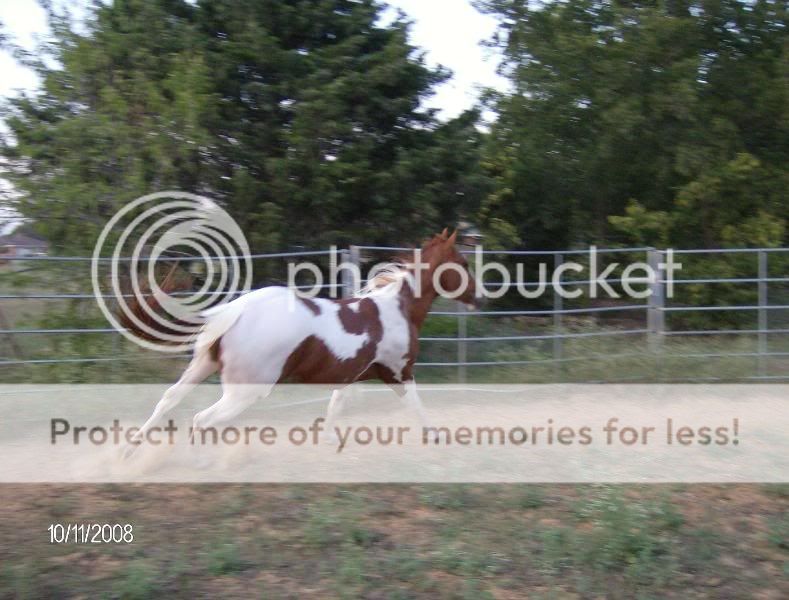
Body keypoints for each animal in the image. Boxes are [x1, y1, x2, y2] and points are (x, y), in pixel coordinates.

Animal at [123, 230, 474, 450]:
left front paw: (331, 439)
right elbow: (416, 405)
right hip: (245, 390)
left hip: (201, 366)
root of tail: (233, 310)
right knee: (201, 419)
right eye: (464, 264)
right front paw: (437, 437)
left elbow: (336, 404)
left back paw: (130, 451)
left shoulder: (351, 374)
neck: (397, 308)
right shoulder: (399, 372)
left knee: (169, 399)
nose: (478, 297)